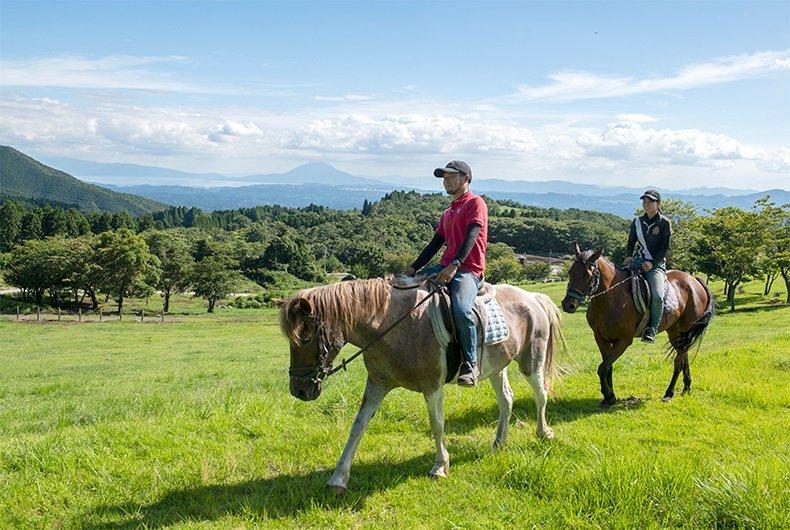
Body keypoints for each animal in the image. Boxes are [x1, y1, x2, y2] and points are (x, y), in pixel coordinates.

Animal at [276, 276, 568, 490]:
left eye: (305, 338)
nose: (299, 390)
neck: (392, 324)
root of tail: (533, 297)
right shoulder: (377, 385)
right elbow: (358, 426)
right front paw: (338, 477)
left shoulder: (432, 387)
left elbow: (437, 425)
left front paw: (440, 466)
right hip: (497, 368)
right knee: (506, 400)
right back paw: (499, 443)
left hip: (531, 360)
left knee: (540, 394)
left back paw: (543, 432)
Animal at [560, 243, 716, 404]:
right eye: (570, 272)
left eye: (587, 275)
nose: (568, 305)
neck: (611, 297)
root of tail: (694, 280)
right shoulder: (601, 338)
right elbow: (608, 366)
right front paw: (610, 397)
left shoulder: (623, 341)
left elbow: (602, 368)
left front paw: (608, 395)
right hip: (675, 331)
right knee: (684, 354)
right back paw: (686, 387)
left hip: (686, 329)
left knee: (679, 360)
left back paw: (669, 393)